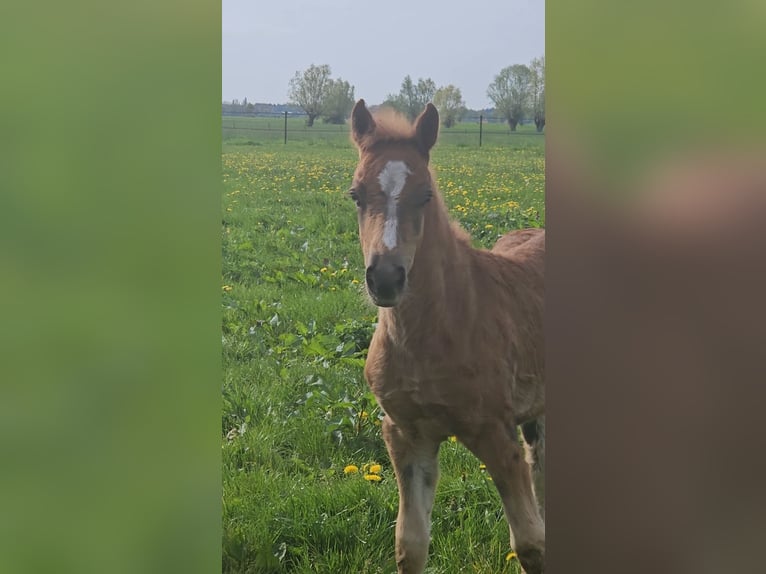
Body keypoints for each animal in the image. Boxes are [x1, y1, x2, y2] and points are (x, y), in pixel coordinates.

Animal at [348, 100, 544, 574]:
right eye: (355, 195)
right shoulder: (407, 435)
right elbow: (410, 544)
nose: (385, 278)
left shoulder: (497, 435)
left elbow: (530, 544)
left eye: (425, 195)